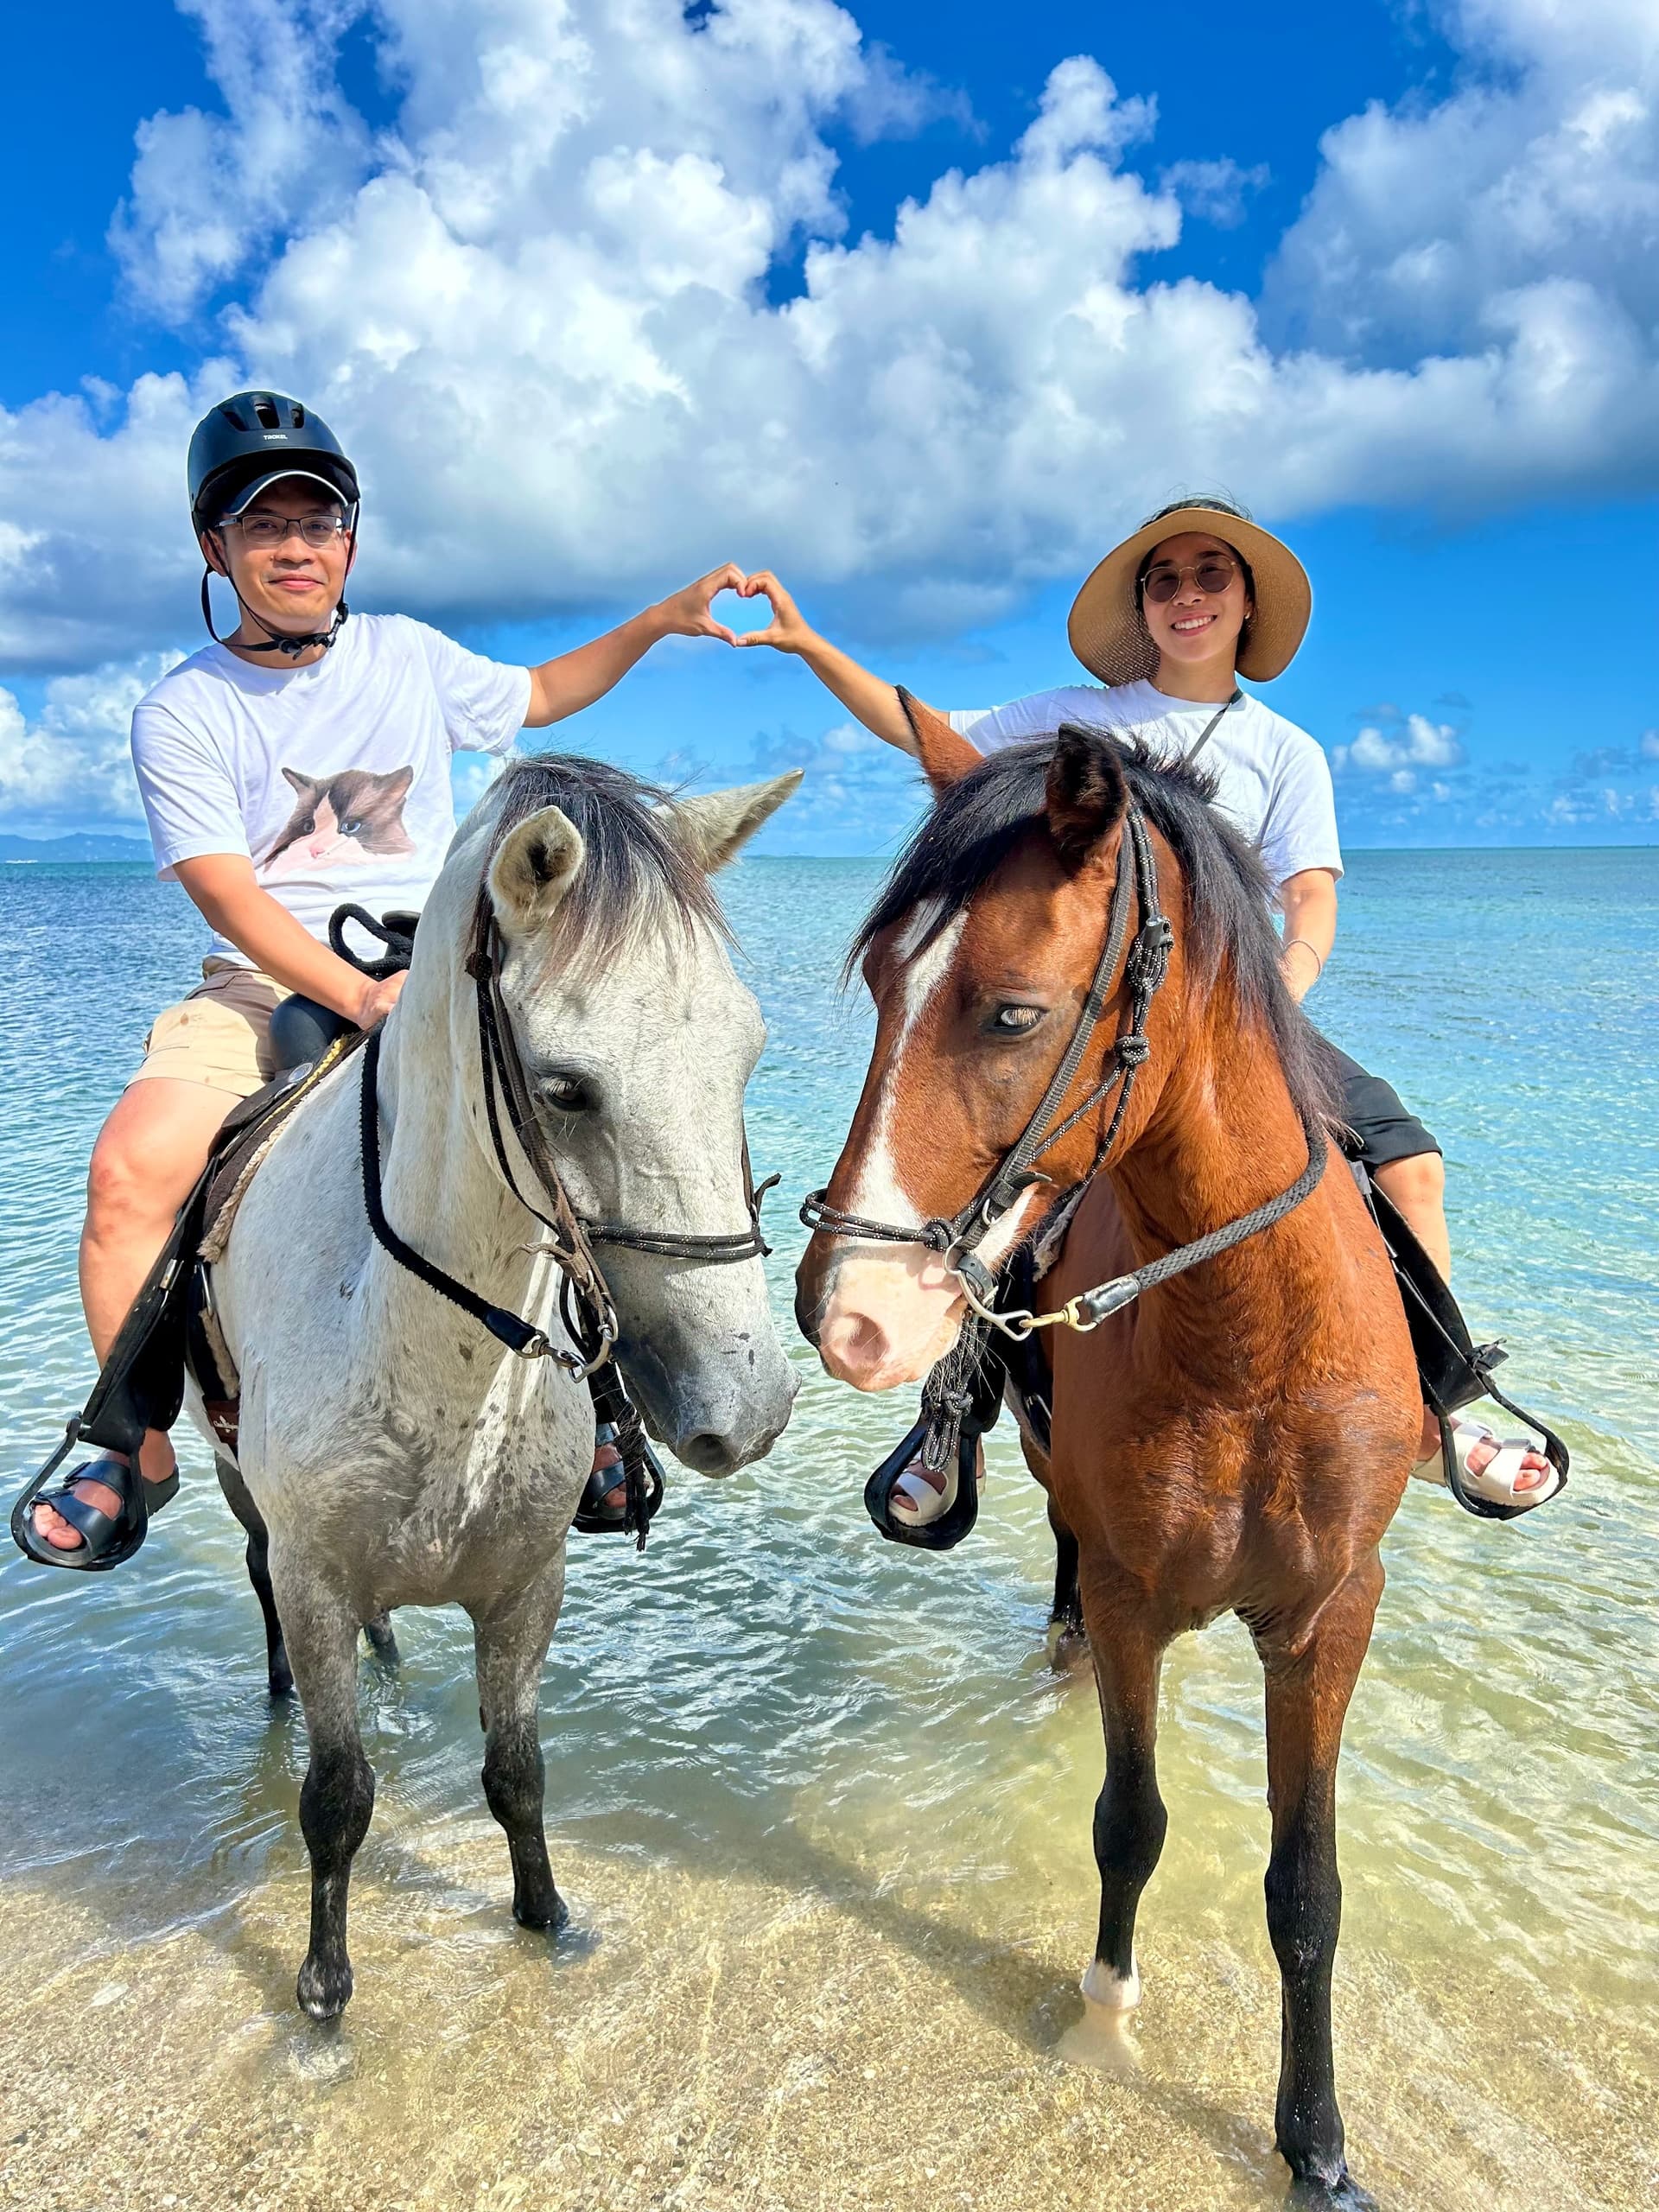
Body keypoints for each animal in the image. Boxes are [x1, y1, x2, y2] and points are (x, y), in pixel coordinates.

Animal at [203, 754, 801, 2021]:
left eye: (747, 1054)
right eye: (566, 1089)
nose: (749, 1407)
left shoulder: (528, 1585)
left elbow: (517, 1771)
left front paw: (545, 1914)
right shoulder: (316, 1578)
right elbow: (337, 1794)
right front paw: (324, 1984)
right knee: (259, 1587)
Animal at [796, 703, 1420, 2211]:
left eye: (1013, 1012)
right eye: (881, 985)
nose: (846, 1316)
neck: (1246, 1340)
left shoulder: (1331, 1615)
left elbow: (1306, 1887)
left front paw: (1317, 2142)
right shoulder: (1140, 1596)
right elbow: (1128, 1821)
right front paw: (1101, 2014)